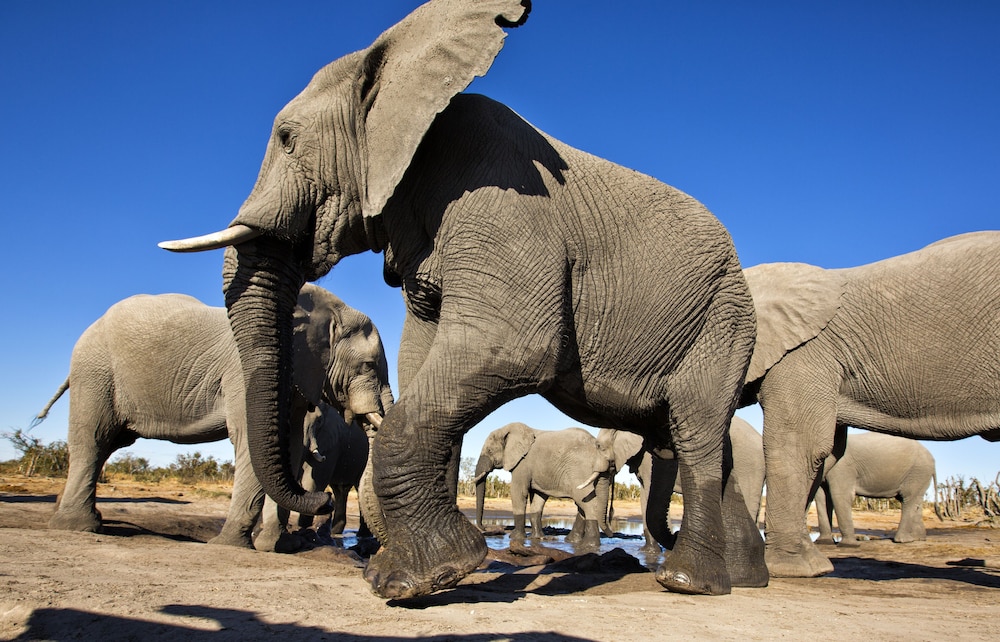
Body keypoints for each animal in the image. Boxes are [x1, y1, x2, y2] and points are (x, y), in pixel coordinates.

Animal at [257, 402, 373, 553]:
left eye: (319, 421)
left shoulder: (330, 439)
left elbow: (313, 480)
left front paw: (303, 530)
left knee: (359, 487)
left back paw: (363, 535)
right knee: (340, 490)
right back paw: (335, 532)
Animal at [473, 423, 613, 548]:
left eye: (490, 451)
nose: (485, 528)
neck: (508, 429)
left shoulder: (523, 463)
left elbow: (518, 492)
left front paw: (514, 537)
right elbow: (538, 500)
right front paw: (537, 538)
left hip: (580, 470)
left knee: (587, 503)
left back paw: (589, 545)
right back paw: (573, 542)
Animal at [598, 416, 765, 553]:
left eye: (600, 447)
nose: (611, 532)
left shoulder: (647, 457)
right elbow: (645, 495)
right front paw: (647, 552)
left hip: (749, 464)